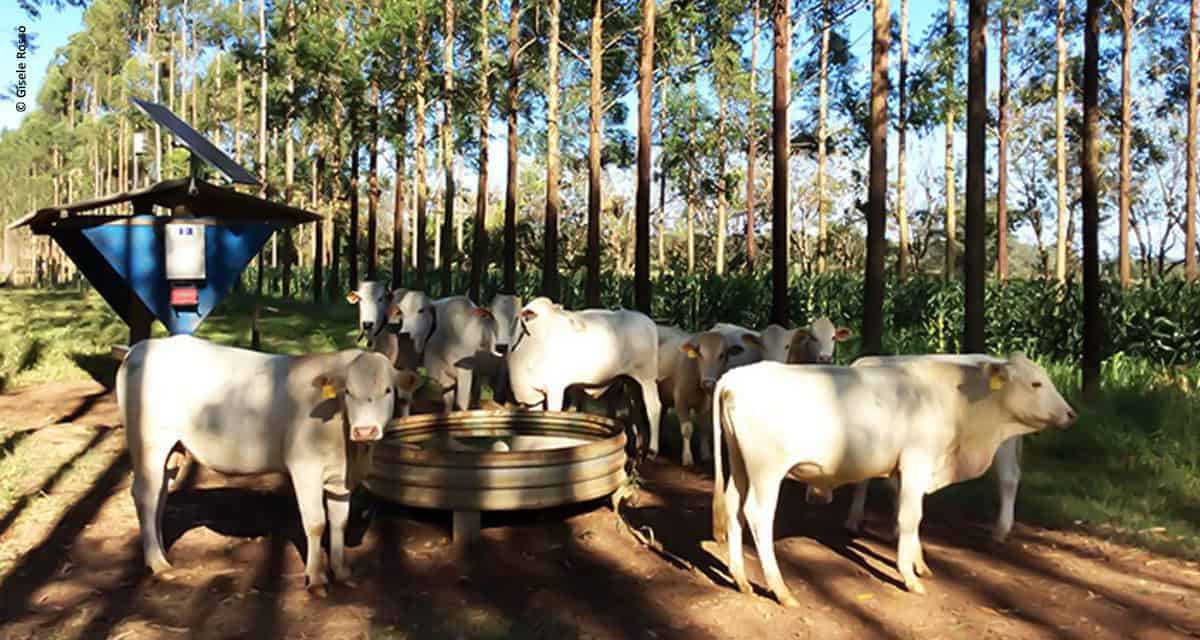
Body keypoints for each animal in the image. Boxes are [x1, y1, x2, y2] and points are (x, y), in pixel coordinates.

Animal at [117, 333, 417, 593]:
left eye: (388, 390)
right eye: (348, 392)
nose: (365, 430)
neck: (350, 450)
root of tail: (140, 348)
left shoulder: (340, 478)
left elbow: (339, 522)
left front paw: (342, 572)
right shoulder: (305, 467)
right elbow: (316, 523)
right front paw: (316, 578)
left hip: (173, 450)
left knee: (160, 494)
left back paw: (160, 552)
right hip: (150, 441)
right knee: (144, 495)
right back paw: (157, 562)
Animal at [506, 297, 667, 453]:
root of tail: (648, 321)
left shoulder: (555, 388)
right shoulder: (533, 397)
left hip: (647, 377)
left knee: (654, 406)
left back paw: (652, 449)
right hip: (631, 381)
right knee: (637, 408)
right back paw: (639, 449)